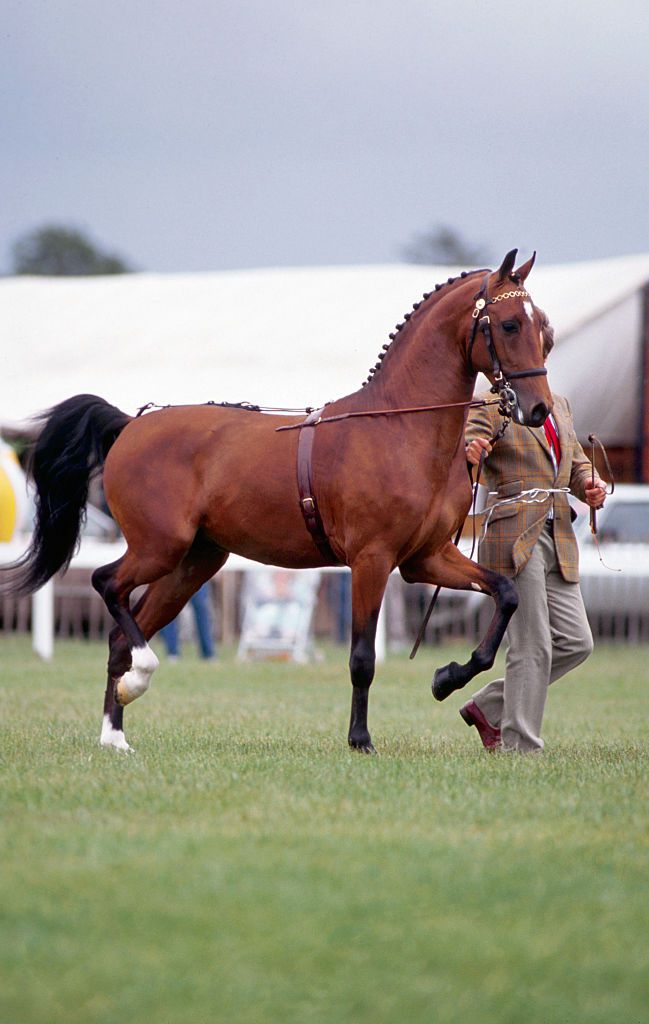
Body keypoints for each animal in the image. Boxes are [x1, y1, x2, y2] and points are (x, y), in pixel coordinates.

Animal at [3, 249, 552, 753]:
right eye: (508, 325)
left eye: (543, 329)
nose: (538, 409)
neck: (398, 428)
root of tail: (130, 425)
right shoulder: (372, 561)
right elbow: (362, 658)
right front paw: (360, 740)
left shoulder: (426, 560)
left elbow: (505, 594)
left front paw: (446, 678)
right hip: (158, 548)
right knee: (105, 585)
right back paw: (136, 682)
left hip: (192, 565)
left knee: (122, 633)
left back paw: (115, 734)